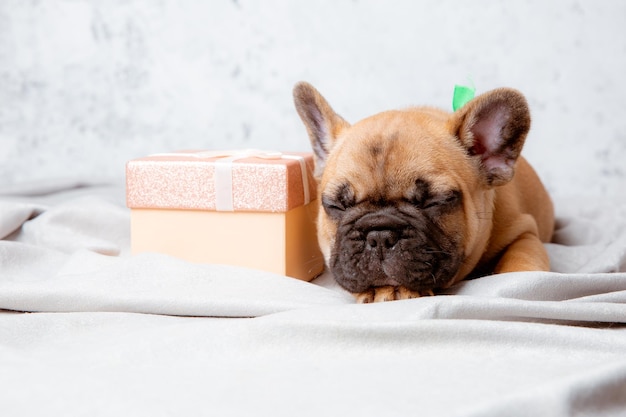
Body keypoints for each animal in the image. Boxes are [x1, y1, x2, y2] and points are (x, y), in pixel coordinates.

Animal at [292, 81, 552, 302]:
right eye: (336, 206)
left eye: (435, 202)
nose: (379, 235)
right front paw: (385, 289)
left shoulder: (524, 232)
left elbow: (521, 265)